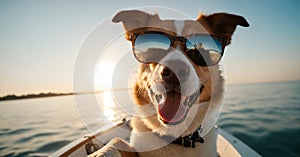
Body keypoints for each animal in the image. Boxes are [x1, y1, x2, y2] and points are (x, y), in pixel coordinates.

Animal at [89, 9, 248, 157]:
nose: (174, 71)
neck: (174, 136)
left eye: (199, 50)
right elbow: (117, 141)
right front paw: (101, 152)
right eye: (155, 49)